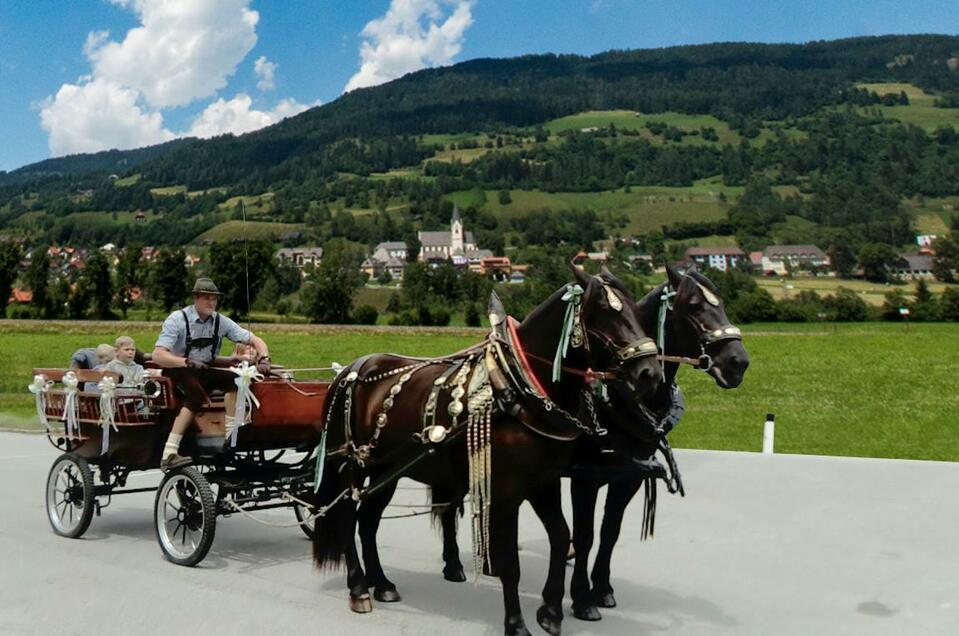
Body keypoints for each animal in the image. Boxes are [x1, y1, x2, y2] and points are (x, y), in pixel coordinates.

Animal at [316, 270, 668, 636]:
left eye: (637, 312)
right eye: (604, 311)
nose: (650, 374)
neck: (522, 388)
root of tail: (351, 370)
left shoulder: (544, 482)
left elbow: (561, 538)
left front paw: (551, 610)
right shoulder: (505, 492)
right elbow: (510, 562)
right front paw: (516, 623)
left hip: (386, 472)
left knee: (368, 521)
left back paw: (381, 583)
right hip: (352, 466)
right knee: (347, 518)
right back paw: (359, 587)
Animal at [568, 264, 752, 620]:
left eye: (722, 301)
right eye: (693, 305)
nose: (738, 362)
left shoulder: (629, 476)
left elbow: (609, 531)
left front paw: (602, 587)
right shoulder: (585, 477)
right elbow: (586, 535)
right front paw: (581, 597)